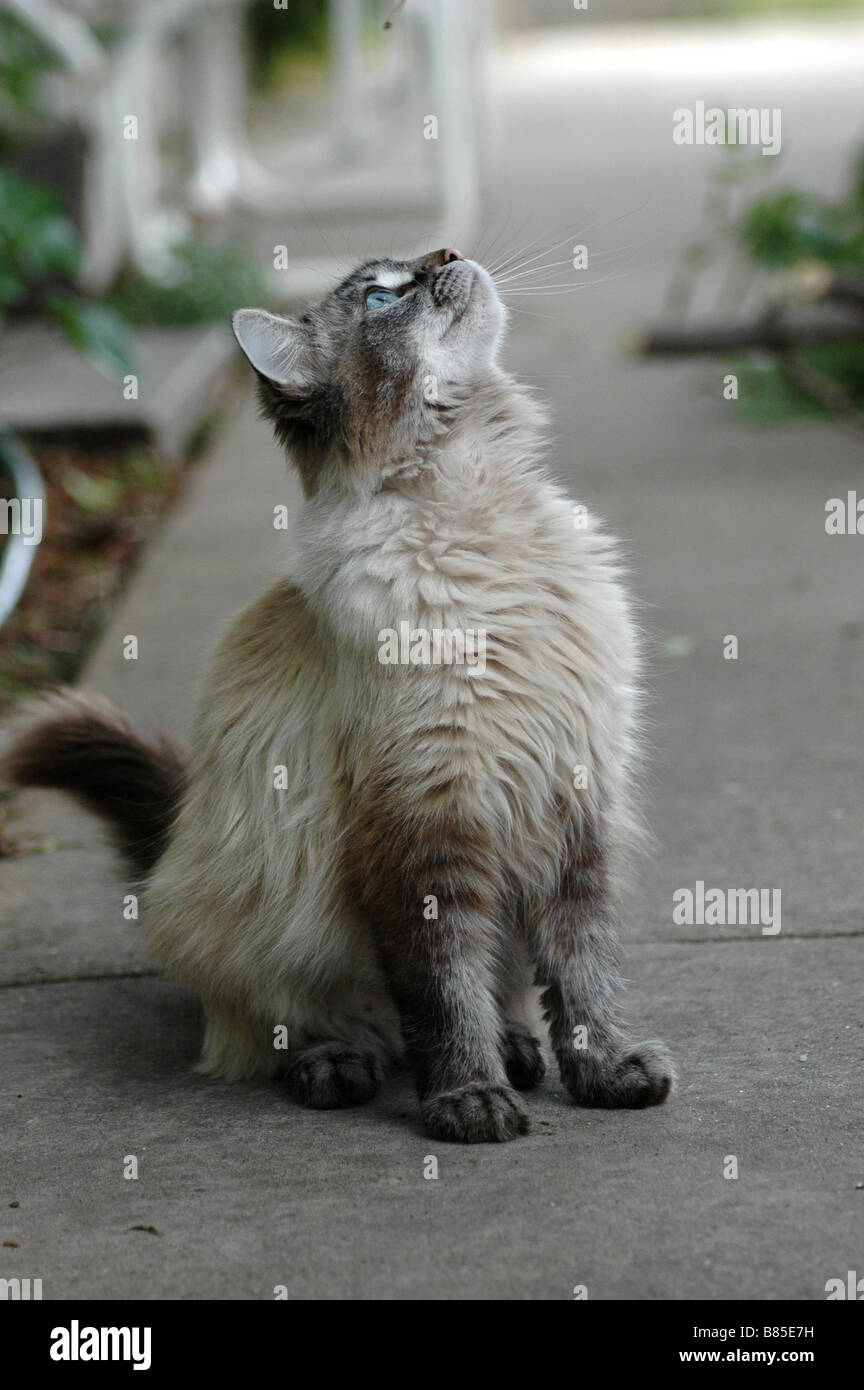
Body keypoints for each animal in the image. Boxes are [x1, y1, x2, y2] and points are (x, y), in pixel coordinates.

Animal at [5, 250, 677, 1139]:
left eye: (420, 264)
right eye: (383, 297)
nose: (448, 255)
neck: (476, 505)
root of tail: (175, 831)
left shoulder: (570, 808)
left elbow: (583, 975)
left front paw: (604, 1072)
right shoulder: (422, 824)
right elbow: (442, 996)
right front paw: (470, 1100)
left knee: (480, 1001)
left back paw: (520, 1053)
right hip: (254, 911)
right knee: (319, 1023)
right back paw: (343, 1066)